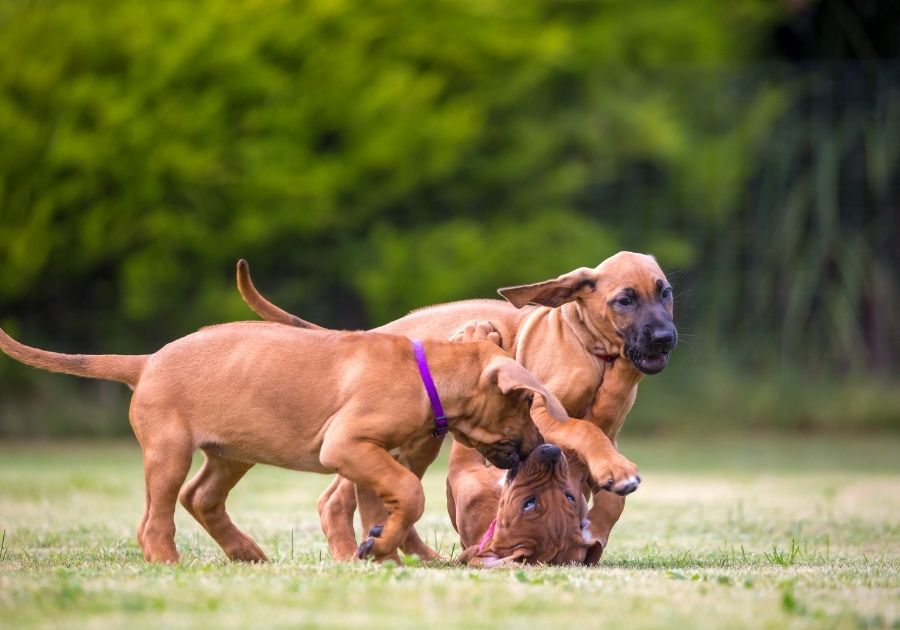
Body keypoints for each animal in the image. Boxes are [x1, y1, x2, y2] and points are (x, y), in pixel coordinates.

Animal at [0, 324, 564, 564]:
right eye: (523, 403)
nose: (544, 448)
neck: (426, 372)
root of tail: (146, 362)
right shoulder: (347, 445)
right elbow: (410, 491)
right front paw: (379, 548)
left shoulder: (370, 456)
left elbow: (379, 505)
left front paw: (378, 550)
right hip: (169, 451)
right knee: (156, 517)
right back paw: (166, 561)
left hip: (232, 452)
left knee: (200, 498)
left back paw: (244, 551)